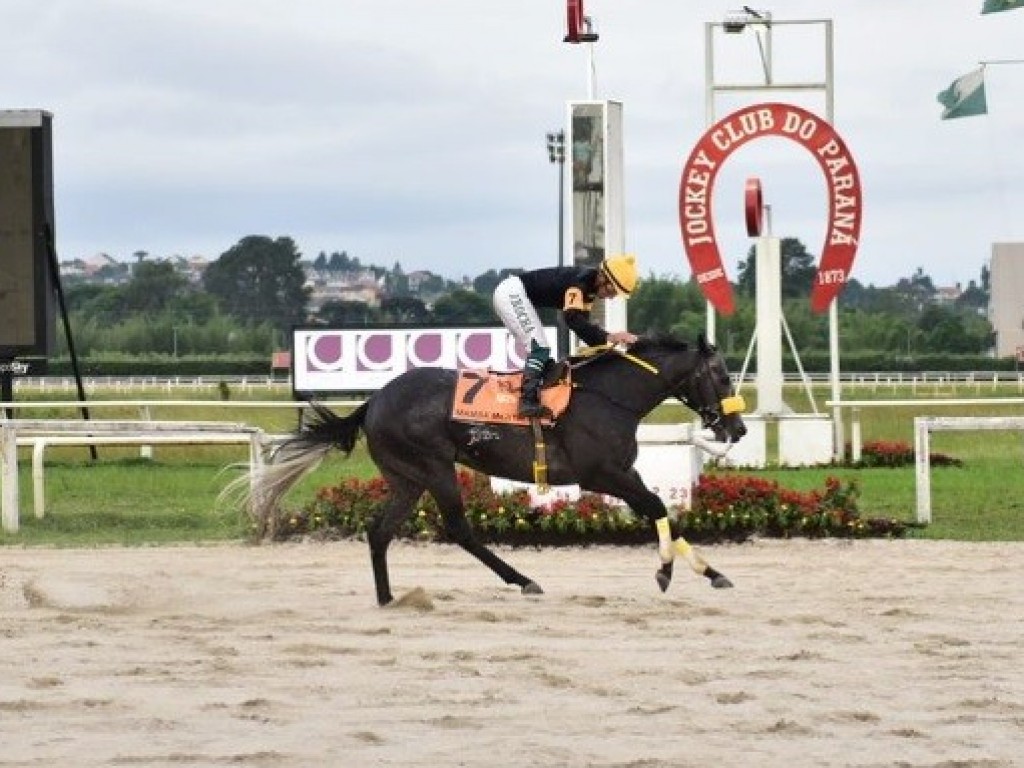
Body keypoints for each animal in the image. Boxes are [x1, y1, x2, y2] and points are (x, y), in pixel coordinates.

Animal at [234, 335, 745, 606]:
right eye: (722, 376)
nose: (737, 428)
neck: (609, 396)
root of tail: (374, 401)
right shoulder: (601, 473)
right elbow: (657, 506)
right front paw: (667, 571)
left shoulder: (620, 472)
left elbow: (665, 512)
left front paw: (711, 572)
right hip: (434, 467)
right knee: (459, 529)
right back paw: (522, 580)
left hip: (407, 478)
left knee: (378, 531)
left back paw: (388, 598)